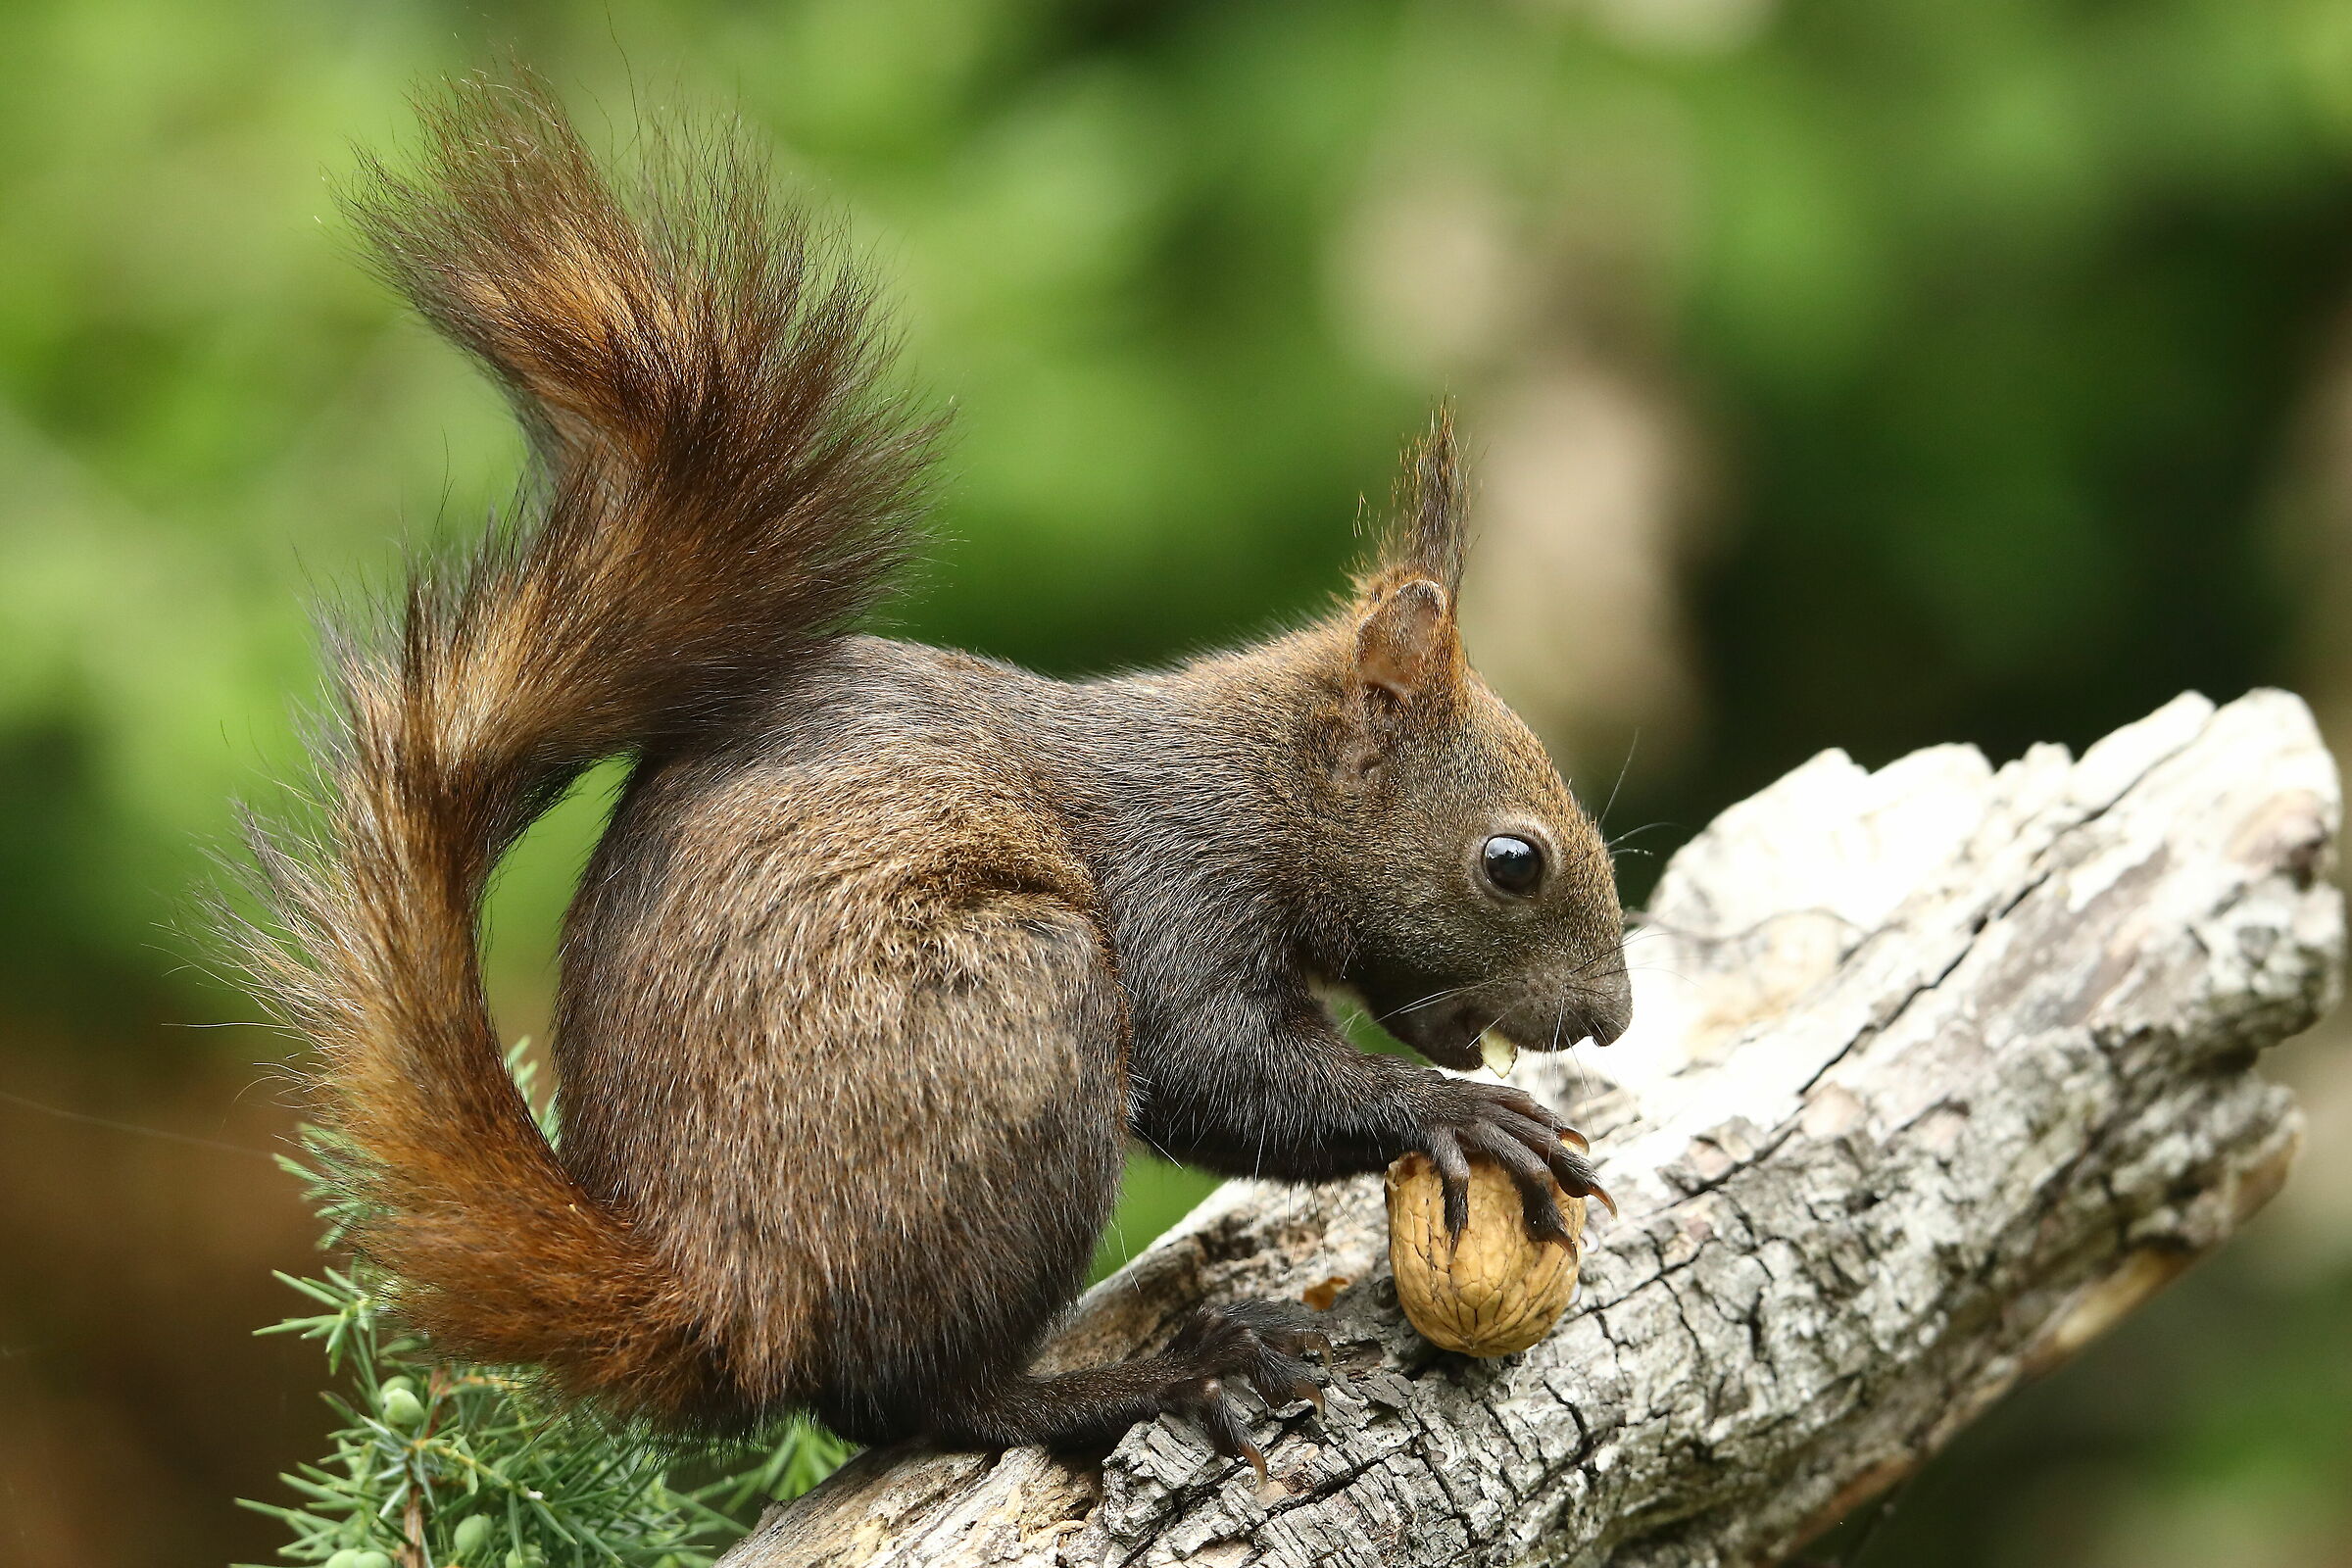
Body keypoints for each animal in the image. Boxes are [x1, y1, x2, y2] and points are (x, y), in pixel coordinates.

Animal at [232, 76, 1632, 1465]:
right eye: (1513, 861)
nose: (1612, 1016)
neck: (1259, 785)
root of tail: (710, 1293)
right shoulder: (1176, 884)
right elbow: (1219, 1068)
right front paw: (1450, 1112)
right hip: (1013, 1015)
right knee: (919, 1397)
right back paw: (1170, 1370)